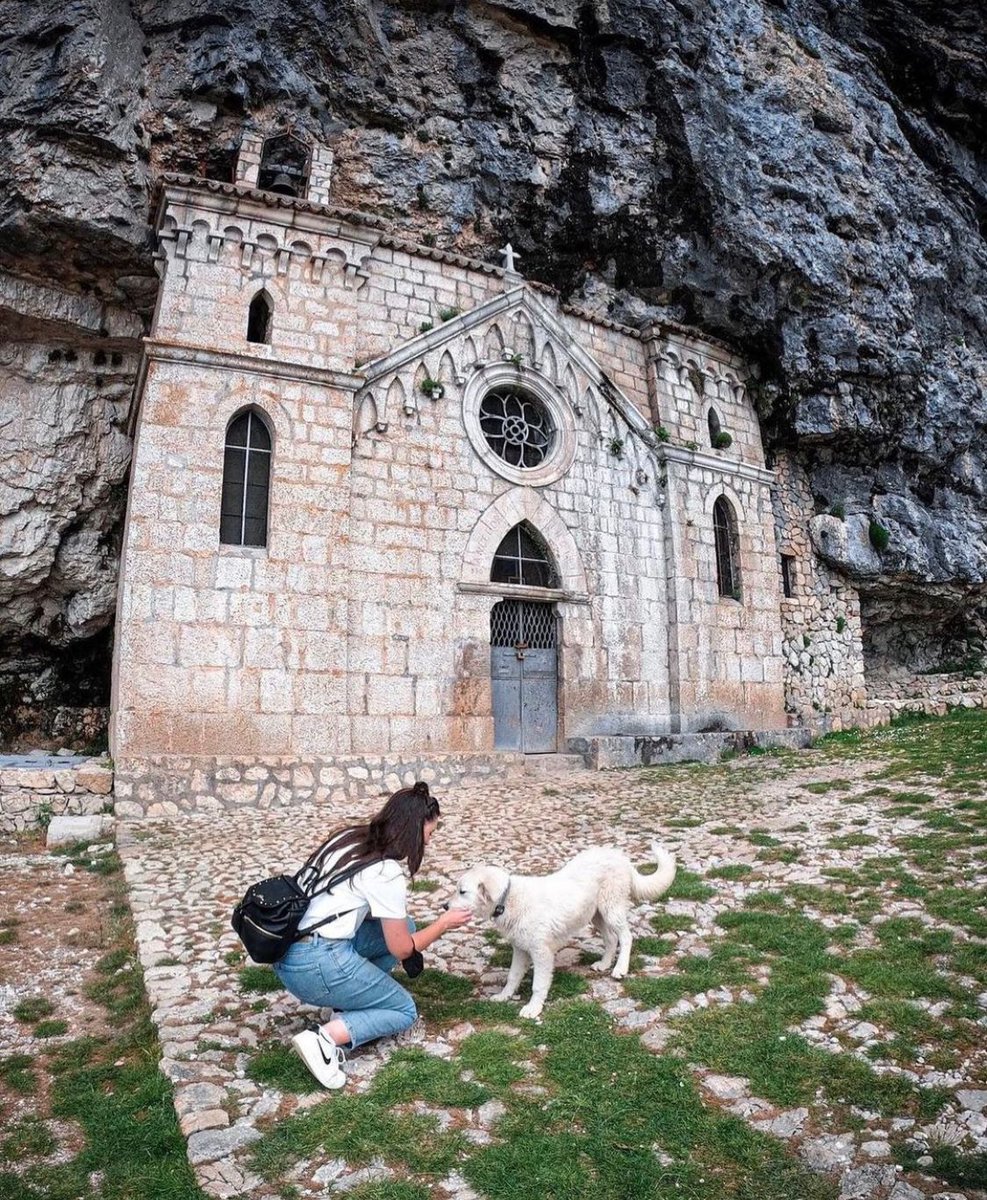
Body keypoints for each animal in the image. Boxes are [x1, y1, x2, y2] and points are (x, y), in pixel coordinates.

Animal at [449, 844, 677, 1012]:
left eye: (462, 891)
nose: (444, 906)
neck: (507, 900)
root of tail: (618, 855)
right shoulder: (520, 949)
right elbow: (512, 976)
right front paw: (504, 996)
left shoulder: (541, 953)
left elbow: (538, 985)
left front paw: (533, 1009)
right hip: (595, 915)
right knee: (611, 939)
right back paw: (604, 964)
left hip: (610, 909)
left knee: (626, 937)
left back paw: (620, 969)